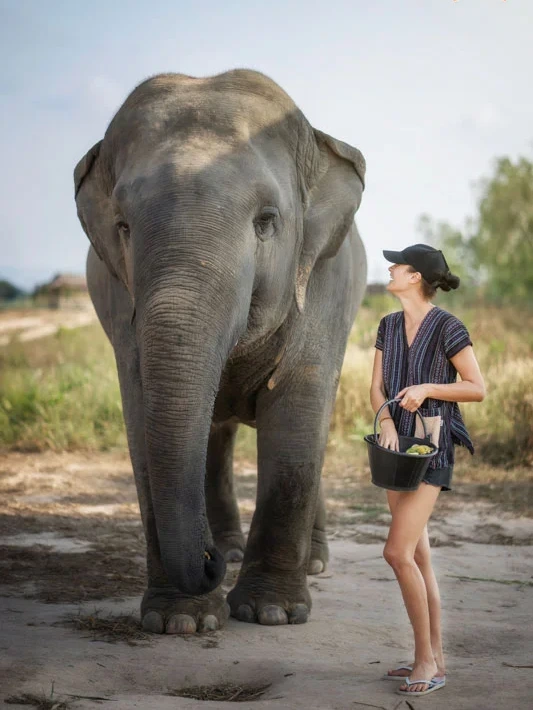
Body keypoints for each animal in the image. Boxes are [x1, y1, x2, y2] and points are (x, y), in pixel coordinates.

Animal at [74, 69, 367, 634]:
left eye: (266, 221)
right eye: (122, 227)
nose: (207, 563)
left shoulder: (323, 279)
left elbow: (298, 417)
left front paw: (270, 614)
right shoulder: (122, 306)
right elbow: (142, 415)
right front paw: (179, 622)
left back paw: (311, 564)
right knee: (216, 432)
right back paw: (231, 552)